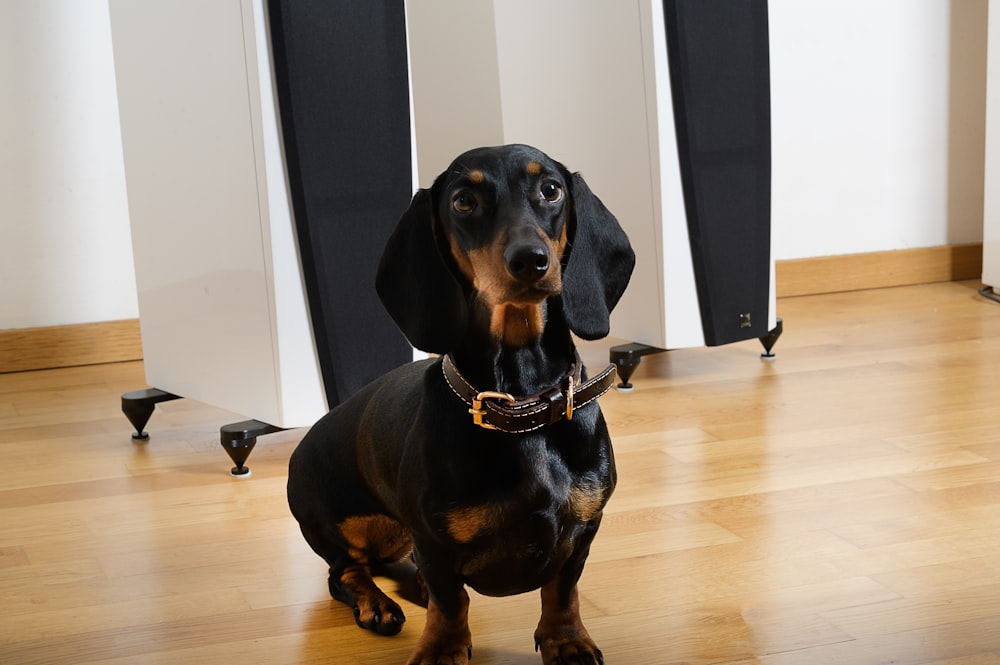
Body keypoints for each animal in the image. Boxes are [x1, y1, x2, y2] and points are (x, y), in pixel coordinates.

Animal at [290, 143, 632, 660]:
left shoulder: (584, 529)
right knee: (346, 572)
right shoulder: (432, 540)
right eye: (463, 202)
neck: (521, 404)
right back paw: (376, 603)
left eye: (551, 189)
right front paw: (441, 649)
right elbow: (452, 603)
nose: (530, 261)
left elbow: (562, 589)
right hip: (339, 525)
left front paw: (566, 640)